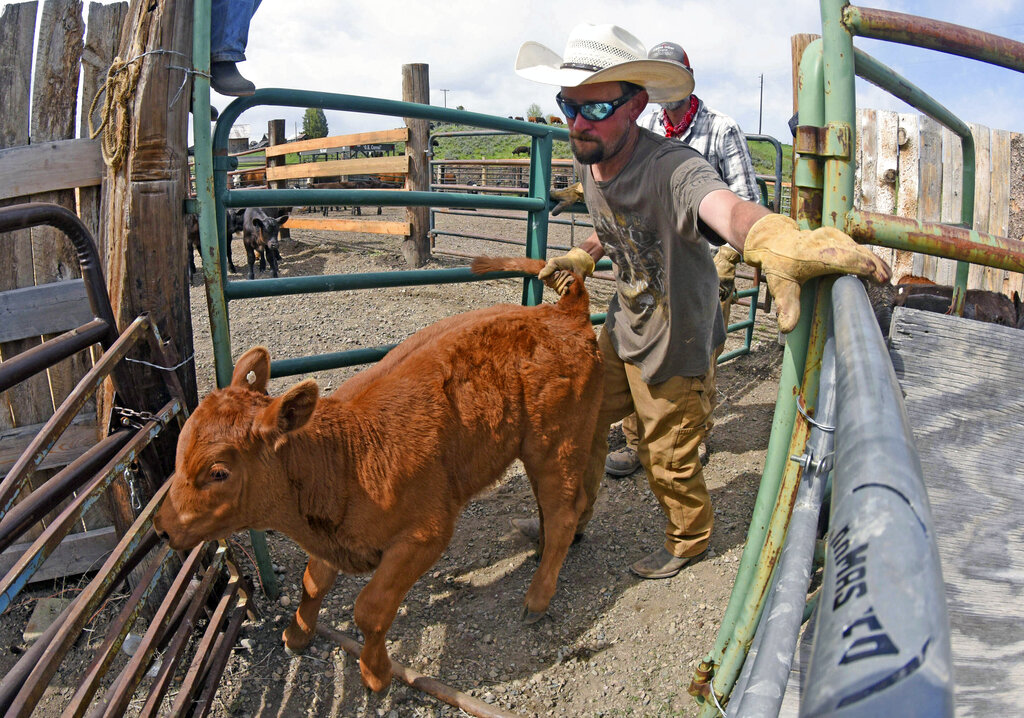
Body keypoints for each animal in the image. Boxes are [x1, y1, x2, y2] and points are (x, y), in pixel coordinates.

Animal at [151, 256, 598, 688]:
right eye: (180, 448)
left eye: (218, 472)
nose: (162, 527)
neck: (345, 459)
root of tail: (562, 312)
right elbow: (313, 584)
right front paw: (296, 635)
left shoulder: (424, 535)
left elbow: (370, 608)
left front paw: (376, 673)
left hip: (555, 445)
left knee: (564, 512)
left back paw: (537, 598)